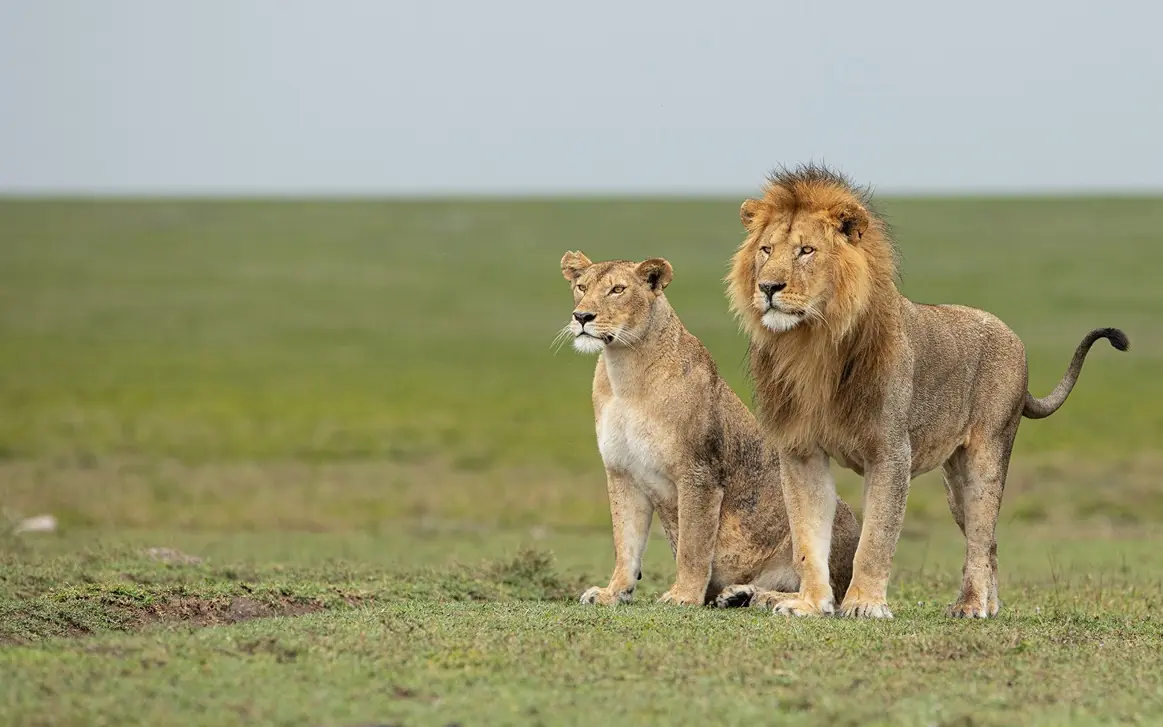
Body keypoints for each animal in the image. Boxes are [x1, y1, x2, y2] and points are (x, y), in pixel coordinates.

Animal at [559, 251, 861, 608]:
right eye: (582, 287)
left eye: (617, 289)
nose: (582, 316)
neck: (625, 371)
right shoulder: (621, 472)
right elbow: (625, 543)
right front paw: (612, 593)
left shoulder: (699, 473)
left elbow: (693, 544)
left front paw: (683, 596)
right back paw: (738, 594)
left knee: (829, 593)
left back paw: (763, 598)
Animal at [726, 163, 1129, 619]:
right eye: (765, 250)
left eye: (806, 251)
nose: (768, 288)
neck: (811, 345)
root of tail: (1011, 334)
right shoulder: (801, 451)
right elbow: (807, 539)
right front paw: (810, 603)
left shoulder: (890, 452)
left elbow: (876, 538)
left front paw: (864, 604)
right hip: (954, 481)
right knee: (989, 543)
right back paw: (990, 605)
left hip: (986, 457)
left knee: (980, 537)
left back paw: (970, 606)